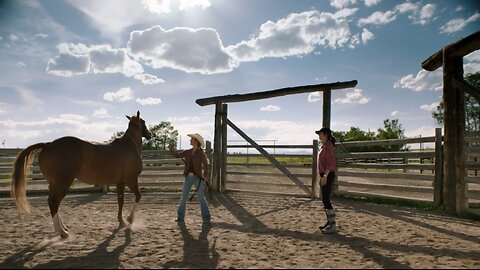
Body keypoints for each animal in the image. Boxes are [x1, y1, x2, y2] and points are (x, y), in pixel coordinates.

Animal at [10, 110, 152, 237]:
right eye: (143, 122)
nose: (149, 134)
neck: (129, 146)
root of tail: (48, 145)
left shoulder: (120, 182)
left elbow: (120, 201)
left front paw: (121, 222)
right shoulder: (131, 180)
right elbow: (138, 196)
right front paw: (130, 219)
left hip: (54, 184)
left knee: (53, 202)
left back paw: (62, 228)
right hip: (62, 184)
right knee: (54, 202)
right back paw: (62, 232)